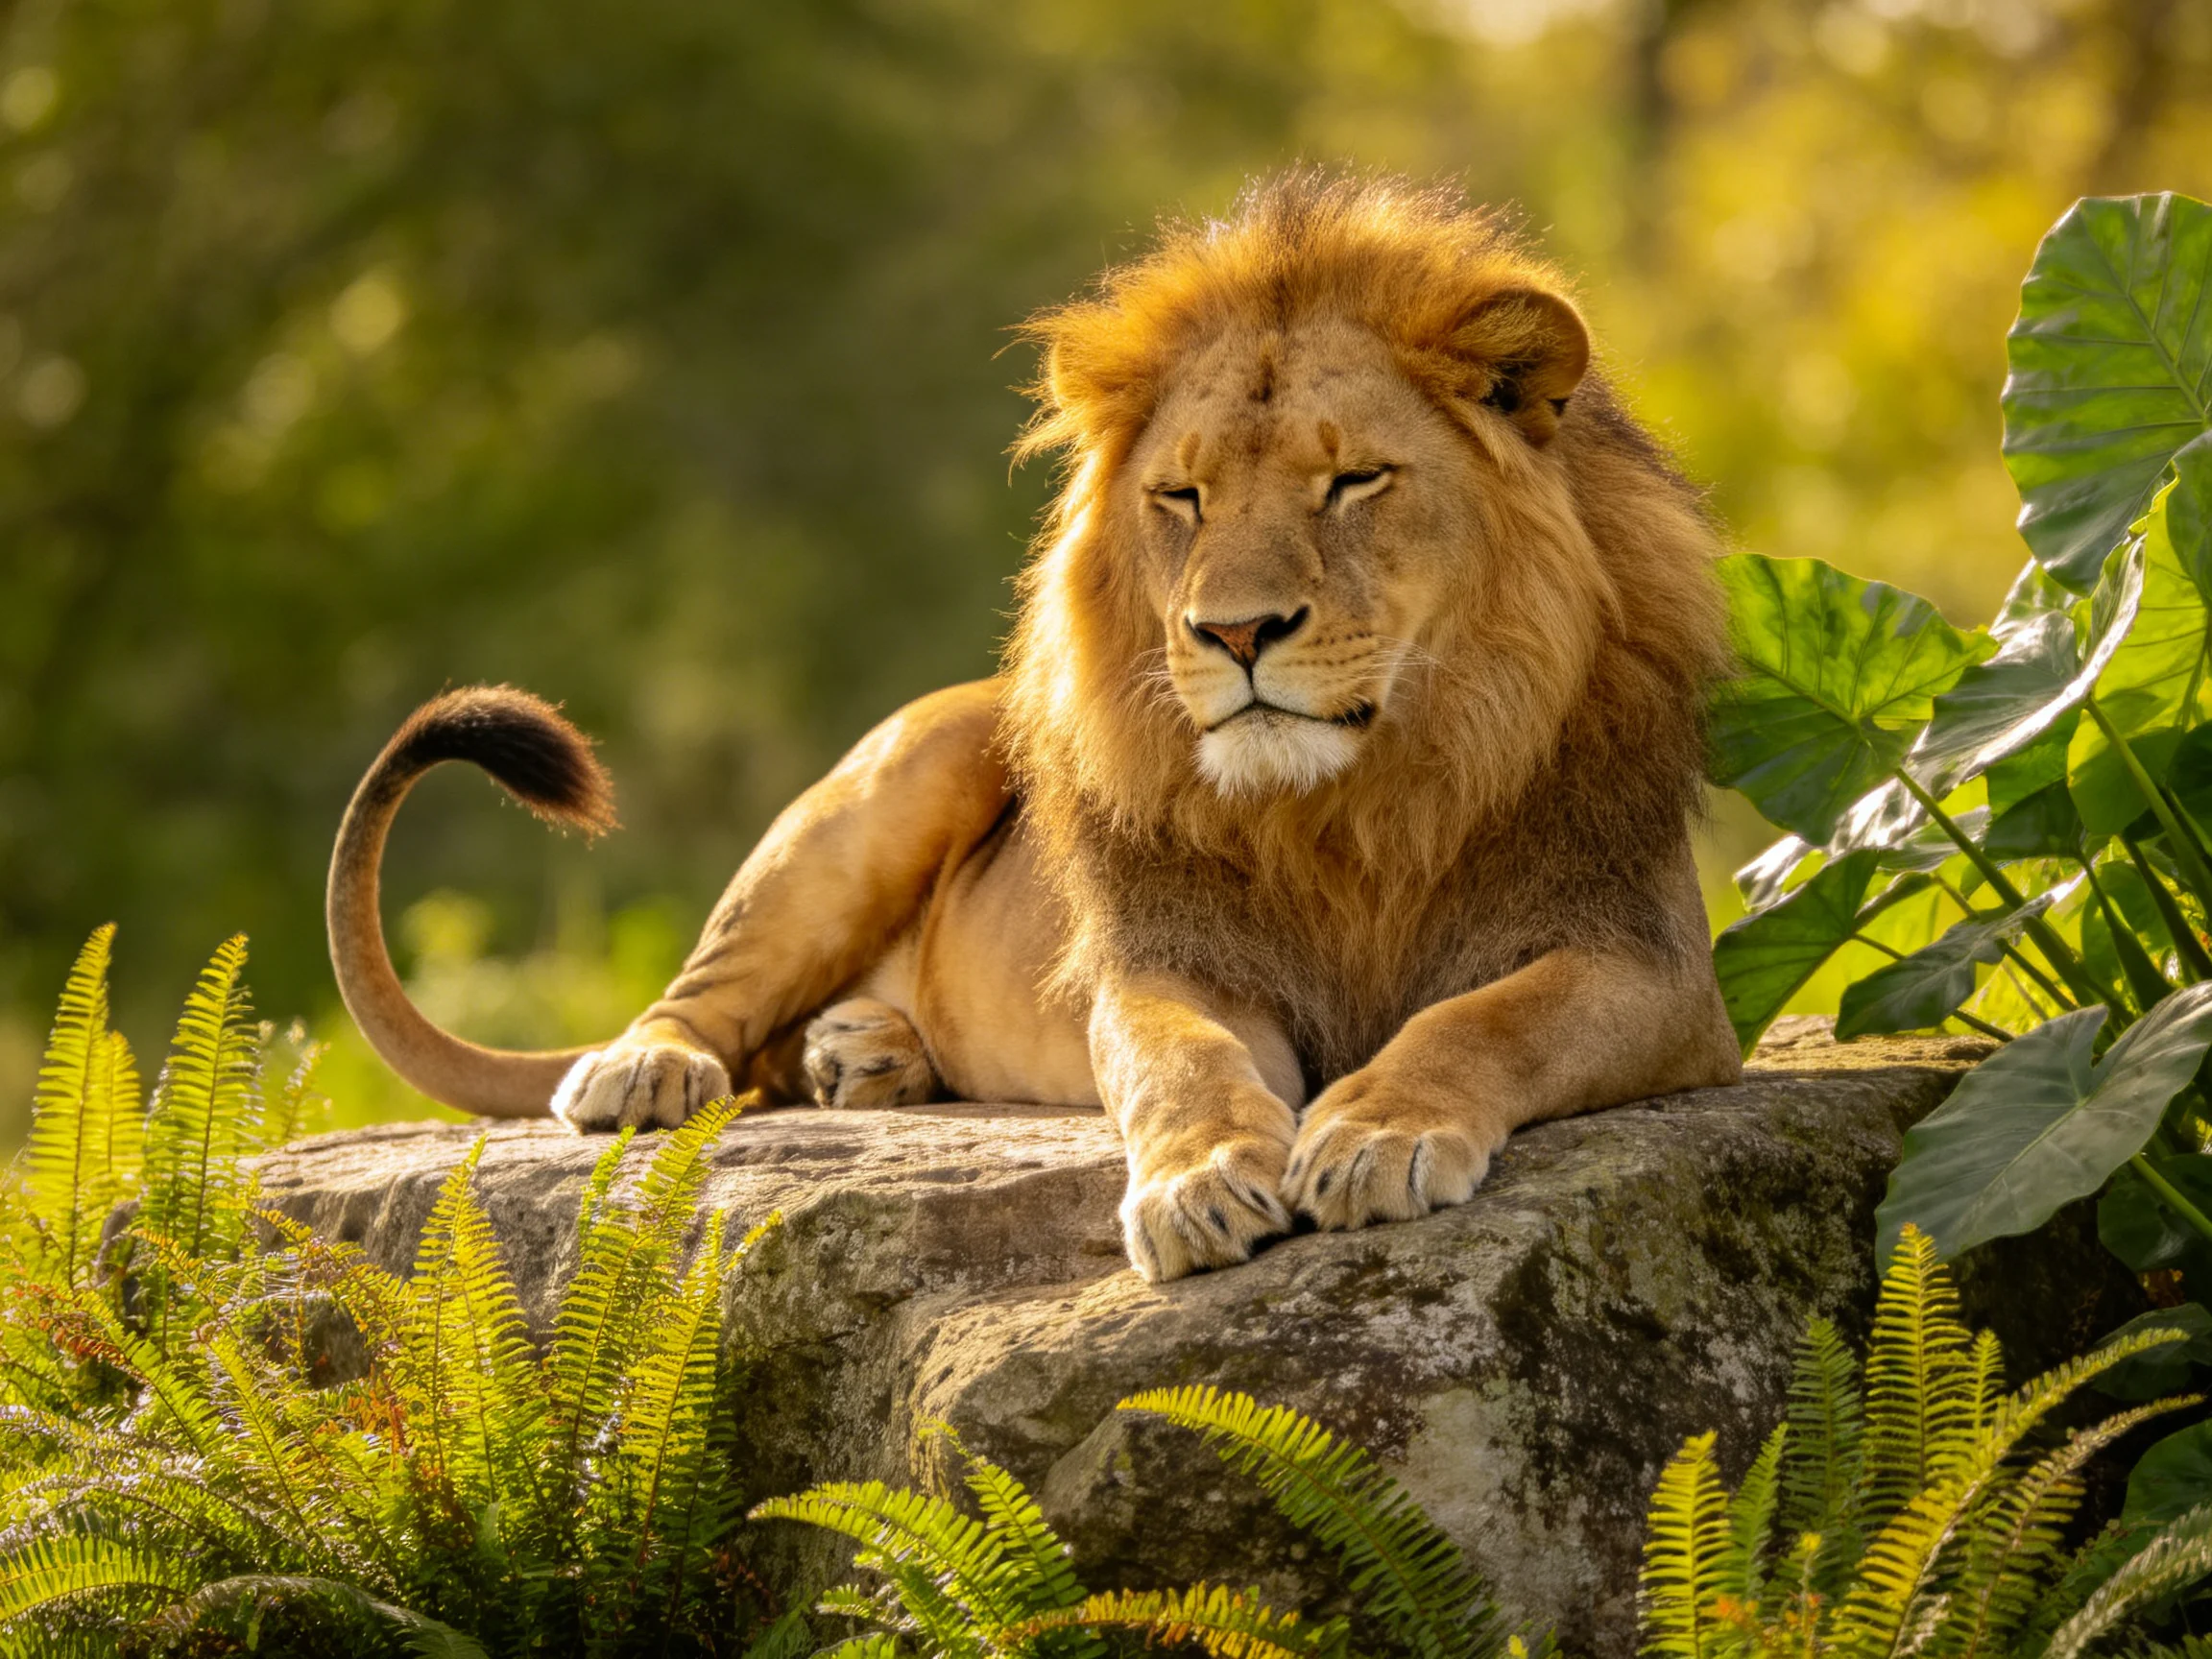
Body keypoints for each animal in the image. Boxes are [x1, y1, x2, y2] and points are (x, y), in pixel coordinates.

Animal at [327, 171, 1742, 1282]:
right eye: (1182, 497)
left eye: (1354, 481)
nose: (1235, 633)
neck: (1355, 803)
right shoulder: (1167, 963)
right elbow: (1181, 1065)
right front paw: (1200, 1183)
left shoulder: (1654, 968)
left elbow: (1486, 1019)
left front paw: (1376, 1132)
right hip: (896, 773)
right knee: (706, 998)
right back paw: (655, 1070)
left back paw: (865, 1054)